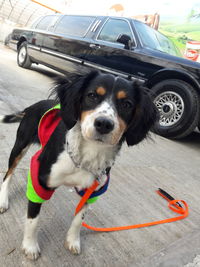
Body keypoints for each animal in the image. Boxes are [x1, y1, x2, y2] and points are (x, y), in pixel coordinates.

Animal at [0, 72, 157, 260]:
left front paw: (73, 241)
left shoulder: (93, 190)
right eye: (92, 95)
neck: (87, 155)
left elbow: (79, 219)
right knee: (8, 173)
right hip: (20, 146)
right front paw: (30, 245)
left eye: (127, 104)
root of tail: (33, 106)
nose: (104, 124)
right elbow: (33, 218)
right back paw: (3, 200)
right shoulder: (40, 179)